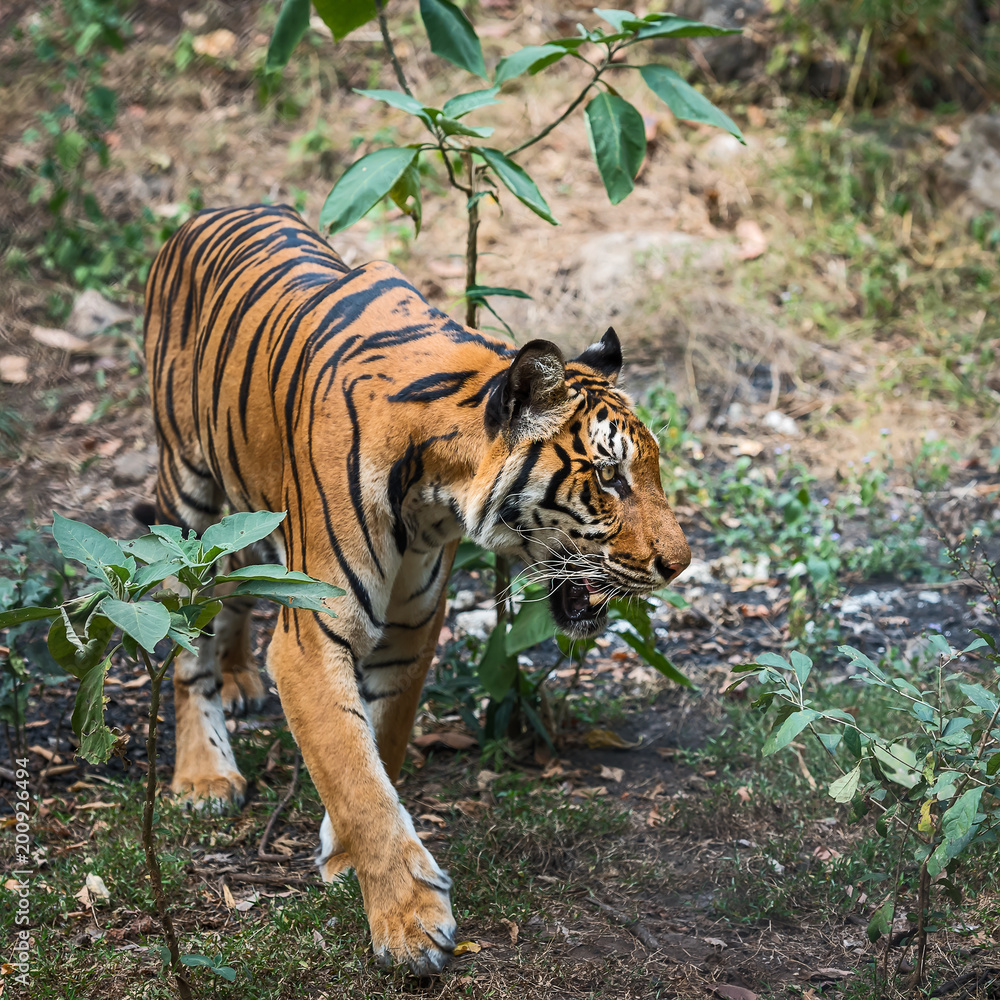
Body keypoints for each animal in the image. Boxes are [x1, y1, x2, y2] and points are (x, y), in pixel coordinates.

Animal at [143, 203, 691, 974]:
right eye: (610, 478)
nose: (682, 563)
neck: (436, 490)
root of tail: (205, 211)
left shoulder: (411, 626)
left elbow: (381, 745)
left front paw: (345, 857)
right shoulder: (313, 638)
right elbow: (356, 774)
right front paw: (409, 925)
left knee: (241, 585)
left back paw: (240, 677)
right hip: (187, 493)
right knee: (185, 635)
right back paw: (202, 775)